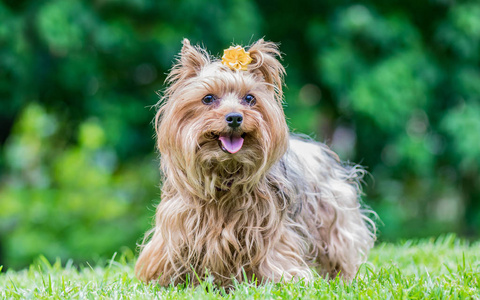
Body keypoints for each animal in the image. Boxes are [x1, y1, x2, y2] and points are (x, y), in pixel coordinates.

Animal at [134, 38, 376, 288]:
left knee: (342, 249)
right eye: (208, 98)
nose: (234, 117)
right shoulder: (180, 222)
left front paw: (282, 278)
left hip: (334, 217)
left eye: (250, 98)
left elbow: (274, 253)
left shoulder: (269, 227)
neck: (225, 173)